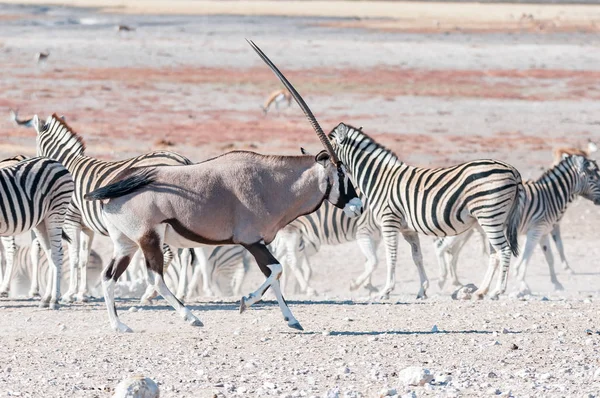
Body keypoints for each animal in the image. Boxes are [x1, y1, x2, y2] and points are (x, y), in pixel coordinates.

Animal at [0, 156, 74, 308]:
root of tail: (55, 162)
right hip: (41, 222)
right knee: (51, 253)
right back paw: (46, 298)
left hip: (56, 212)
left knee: (57, 253)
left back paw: (54, 300)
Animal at [27, 112, 193, 302]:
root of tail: (183, 160)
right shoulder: (87, 227)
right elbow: (84, 259)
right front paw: (82, 293)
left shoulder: (70, 220)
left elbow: (74, 257)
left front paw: (70, 294)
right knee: (184, 254)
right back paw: (180, 293)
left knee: (169, 254)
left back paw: (150, 293)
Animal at [326, 123, 524, 300]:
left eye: (328, 145)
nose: (318, 159)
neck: (380, 179)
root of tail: (512, 170)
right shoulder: (408, 229)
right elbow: (417, 257)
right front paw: (422, 290)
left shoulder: (389, 220)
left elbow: (391, 256)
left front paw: (385, 291)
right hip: (492, 220)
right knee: (495, 254)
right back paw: (481, 291)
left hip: (490, 217)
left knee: (504, 250)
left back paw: (497, 291)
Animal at [434, 155, 600, 296]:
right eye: (593, 177)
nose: (599, 201)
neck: (550, 196)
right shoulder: (535, 230)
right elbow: (526, 256)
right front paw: (522, 282)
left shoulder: (544, 232)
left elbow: (549, 258)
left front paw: (556, 283)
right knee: (441, 248)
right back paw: (441, 281)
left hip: (466, 230)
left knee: (453, 253)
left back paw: (455, 281)